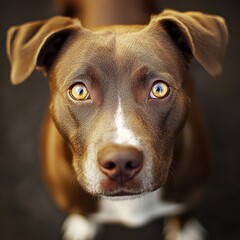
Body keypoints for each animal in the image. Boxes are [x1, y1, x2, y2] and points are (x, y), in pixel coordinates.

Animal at [6, 6, 227, 239]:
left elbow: (183, 212)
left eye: (159, 89)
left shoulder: (191, 192)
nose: (121, 160)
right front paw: (82, 225)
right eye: (79, 91)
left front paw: (183, 232)